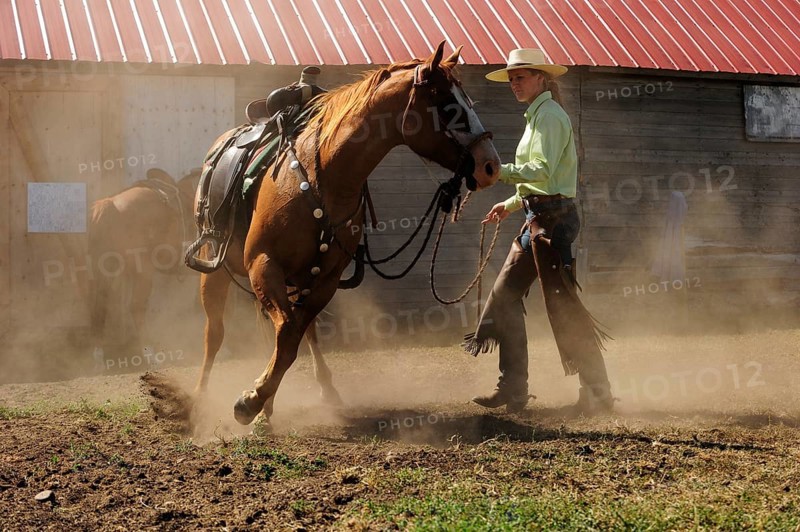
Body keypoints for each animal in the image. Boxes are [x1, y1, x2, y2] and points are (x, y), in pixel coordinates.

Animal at [88, 168, 200, 366]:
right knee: (136, 306)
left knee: (100, 305)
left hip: (104, 270)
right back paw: (150, 353)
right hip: (143, 272)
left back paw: (98, 356)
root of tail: (109, 205)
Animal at [194, 42, 501, 427]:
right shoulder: (263, 262)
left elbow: (292, 337)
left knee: (296, 330)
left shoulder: (325, 278)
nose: (490, 165)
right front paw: (250, 402)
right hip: (214, 265)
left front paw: (258, 401)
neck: (324, 175)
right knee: (214, 333)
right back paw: (199, 397)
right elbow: (285, 333)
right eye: (448, 105)